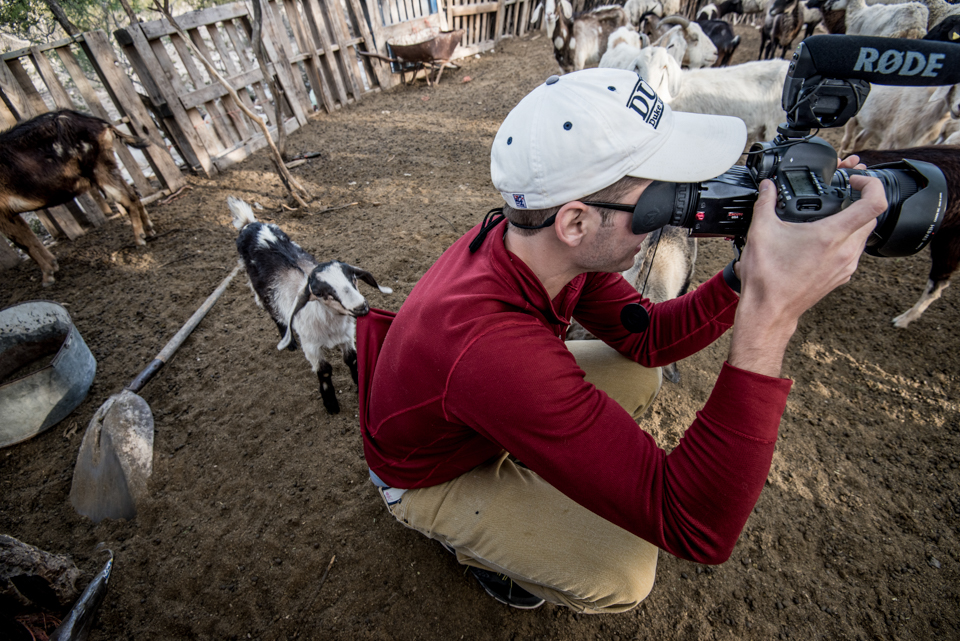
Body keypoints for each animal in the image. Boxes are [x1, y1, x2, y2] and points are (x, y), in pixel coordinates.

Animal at [0, 110, 154, 284]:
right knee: (133, 193)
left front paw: (47, 277)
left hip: (98, 168)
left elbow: (24, 243)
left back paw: (139, 240)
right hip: (108, 166)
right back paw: (149, 230)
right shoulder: (9, 213)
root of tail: (102, 124)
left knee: (128, 199)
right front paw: (51, 269)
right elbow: (28, 239)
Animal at [231, 196, 392, 416]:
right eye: (322, 293)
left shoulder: (346, 335)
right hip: (262, 294)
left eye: (353, 278)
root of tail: (251, 225)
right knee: (275, 315)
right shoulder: (311, 346)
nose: (361, 307)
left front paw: (359, 385)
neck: (330, 323)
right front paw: (331, 404)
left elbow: (352, 359)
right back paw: (288, 341)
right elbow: (324, 371)